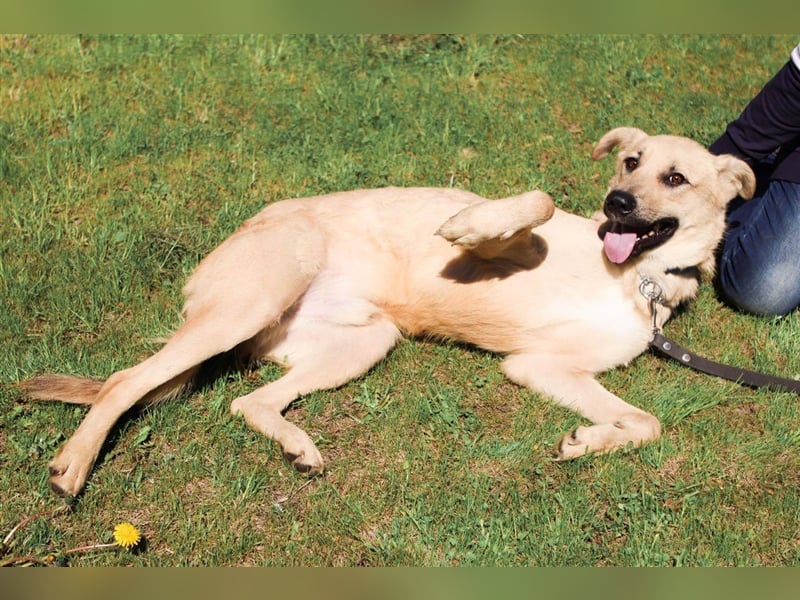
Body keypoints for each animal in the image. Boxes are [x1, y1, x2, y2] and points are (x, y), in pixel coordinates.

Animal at [20, 127, 756, 496]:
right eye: (630, 161)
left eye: (675, 178)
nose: (617, 204)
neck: (631, 275)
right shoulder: (526, 281)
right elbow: (536, 202)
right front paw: (470, 223)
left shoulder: (540, 366)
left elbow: (648, 422)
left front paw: (586, 441)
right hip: (247, 303)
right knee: (122, 383)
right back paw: (74, 464)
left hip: (362, 343)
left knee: (247, 401)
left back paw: (296, 446)